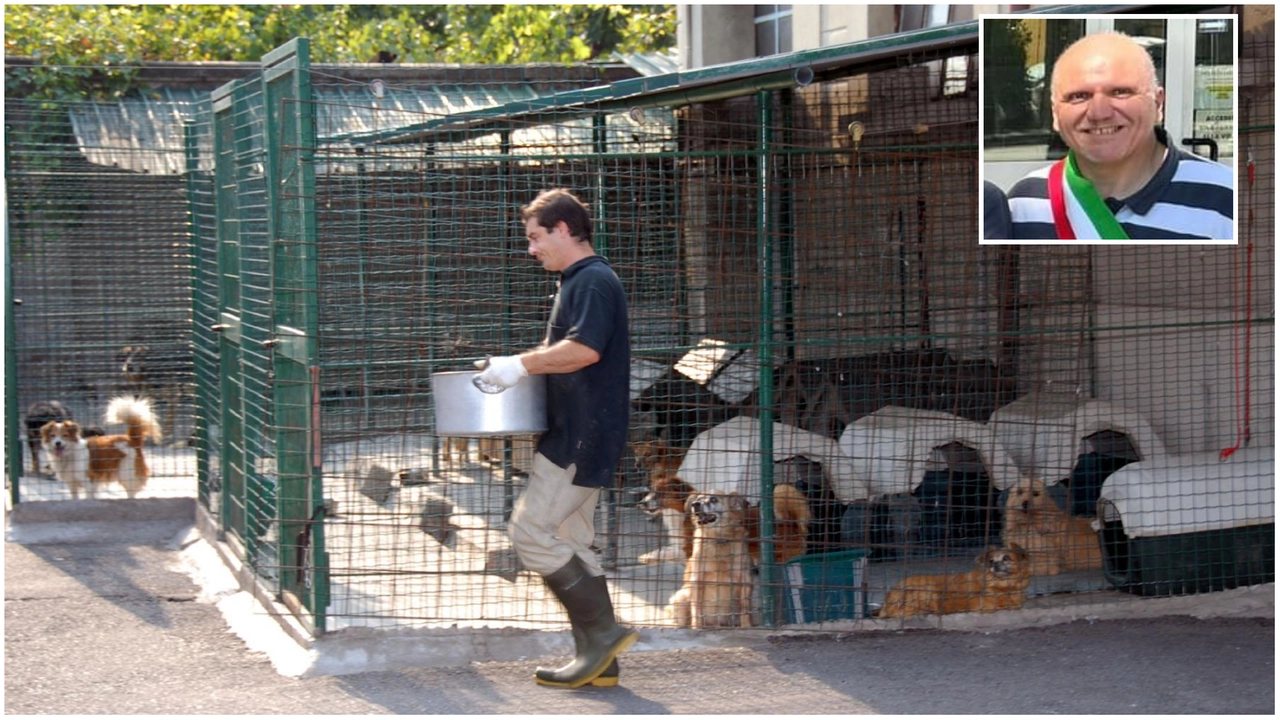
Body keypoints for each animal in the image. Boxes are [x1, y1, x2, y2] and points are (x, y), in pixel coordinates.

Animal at [665, 489, 752, 625]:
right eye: (698, 499)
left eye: (714, 499)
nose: (695, 504)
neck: (717, 539)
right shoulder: (697, 580)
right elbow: (696, 609)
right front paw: (697, 627)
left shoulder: (744, 579)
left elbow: (744, 608)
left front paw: (746, 626)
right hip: (682, 597)